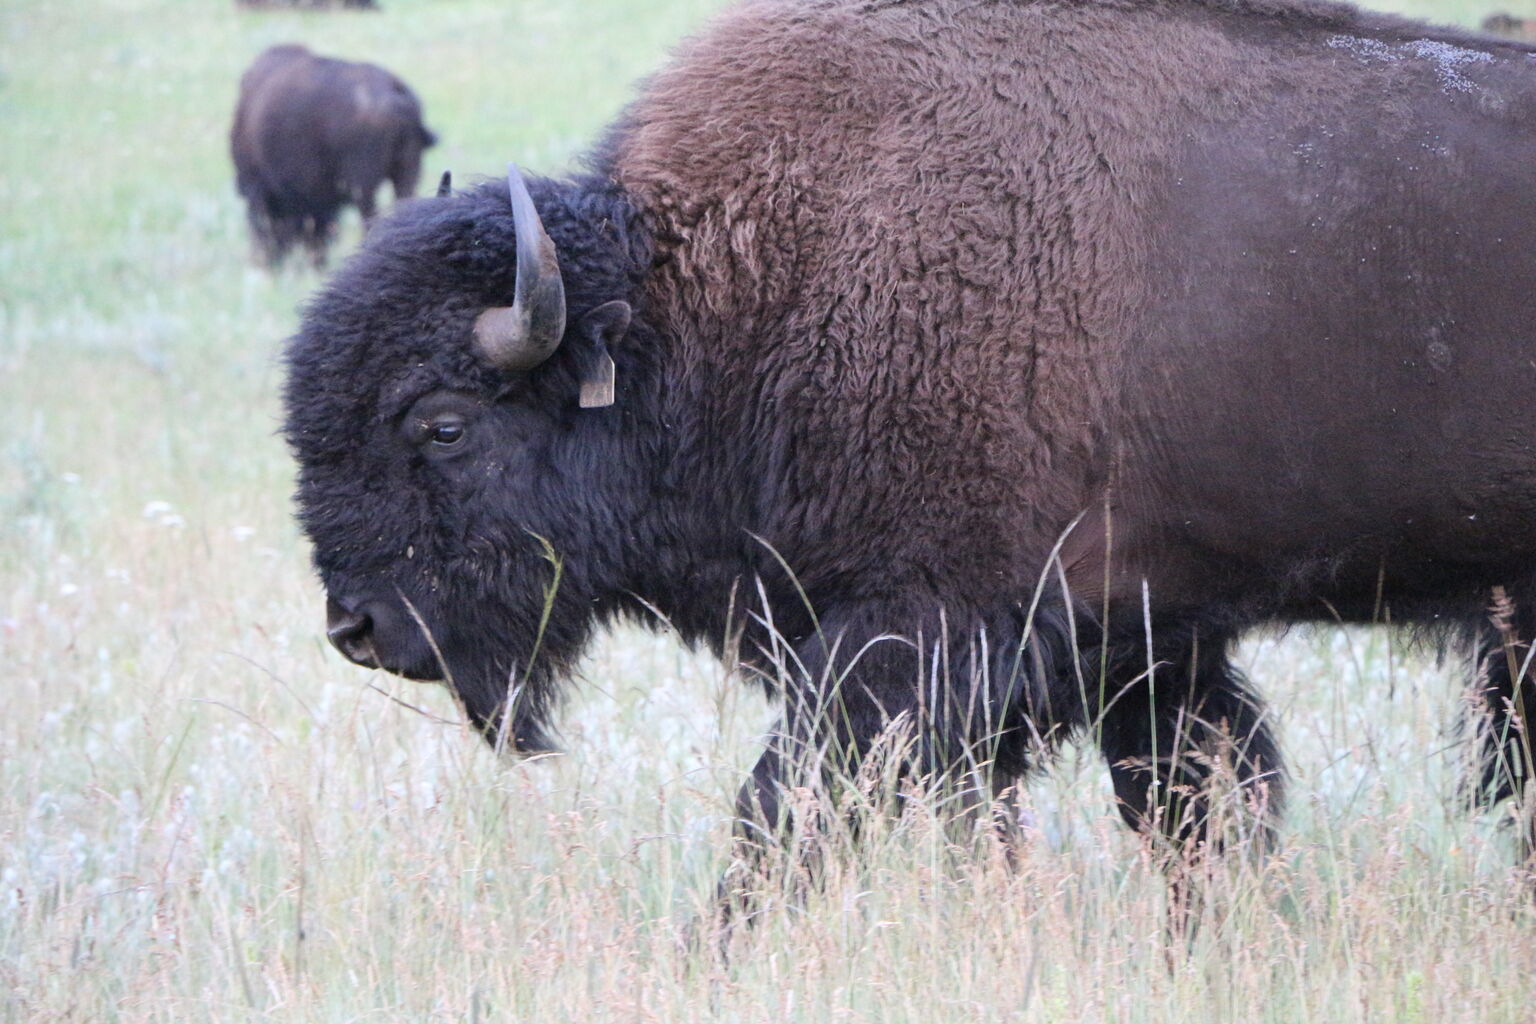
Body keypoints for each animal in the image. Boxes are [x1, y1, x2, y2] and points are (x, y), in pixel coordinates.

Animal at [282, 0, 1536, 890]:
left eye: (442, 424)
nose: (356, 628)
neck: (721, 303)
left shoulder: (916, 628)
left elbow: (782, 812)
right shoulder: (1138, 638)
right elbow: (1184, 808)